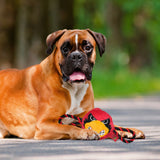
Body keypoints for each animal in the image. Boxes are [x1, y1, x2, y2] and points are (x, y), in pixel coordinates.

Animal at [0, 29, 145, 139]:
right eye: (65, 49)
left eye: (87, 47)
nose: (76, 56)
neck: (74, 89)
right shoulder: (44, 124)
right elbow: (67, 127)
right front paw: (85, 132)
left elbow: (113, 126)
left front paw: (129, 130)